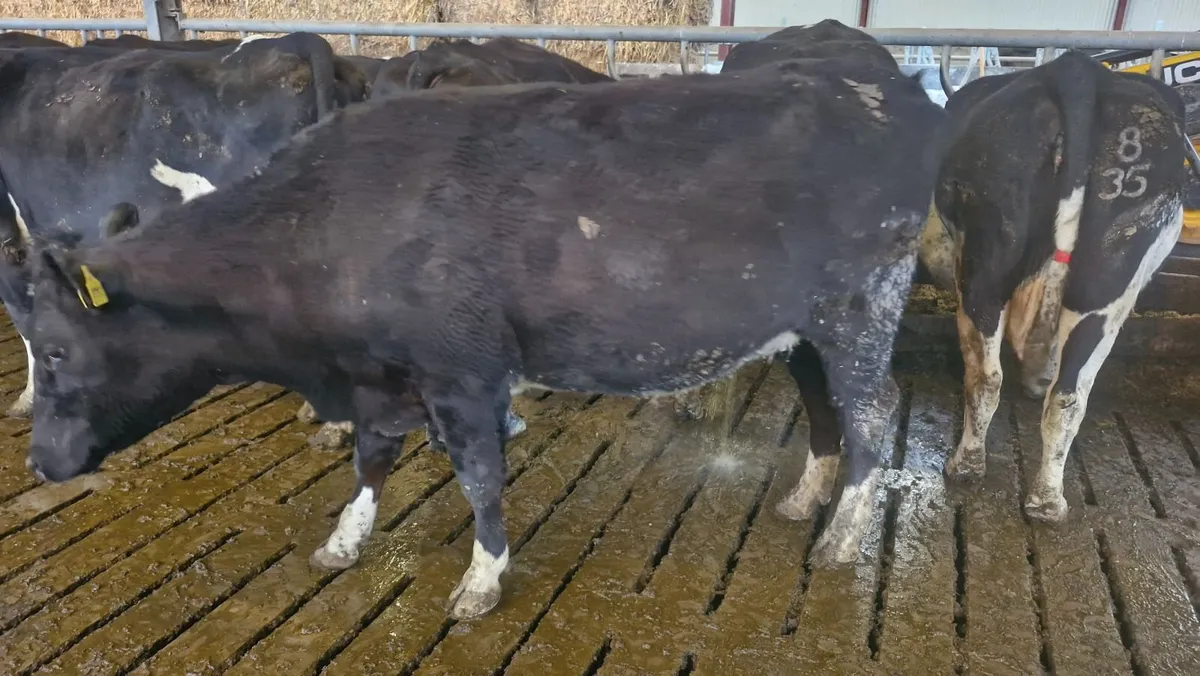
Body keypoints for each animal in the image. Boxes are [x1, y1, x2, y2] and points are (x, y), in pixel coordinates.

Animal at [920, 50, 1192, 523]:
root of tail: (1079, 73)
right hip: (1098, 278)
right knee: (1051, 390)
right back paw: (1029, 491)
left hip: (1003, 270)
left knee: (1010, 381)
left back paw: (992, 476)